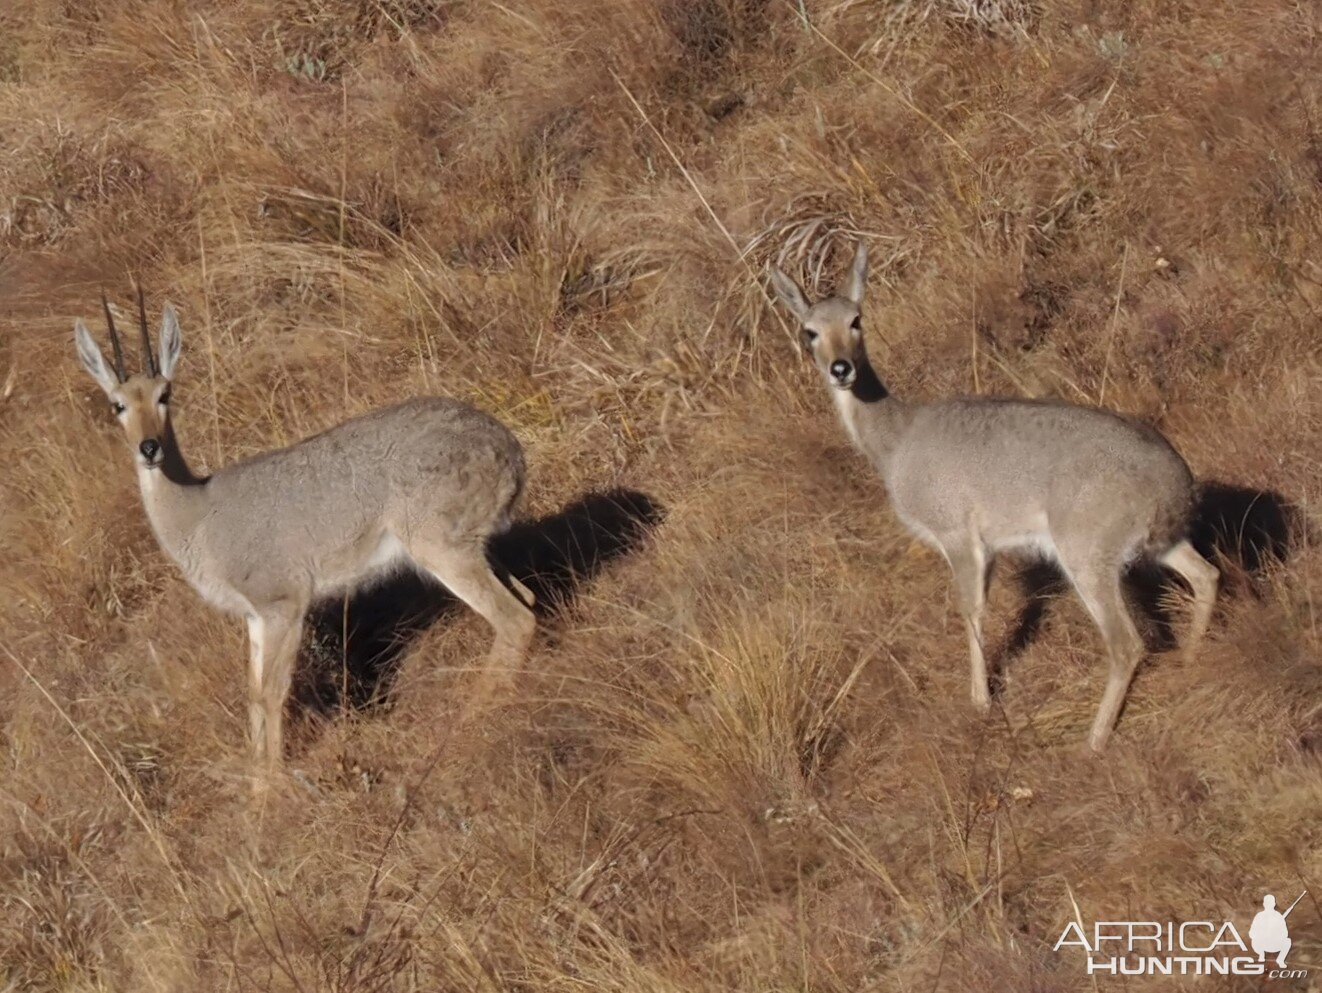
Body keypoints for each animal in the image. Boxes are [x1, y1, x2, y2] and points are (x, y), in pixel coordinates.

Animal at [72, 290, 534, 782]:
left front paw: (273, 787)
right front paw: (257, 787)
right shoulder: (254, 617)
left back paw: (476, 719)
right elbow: (252, 695)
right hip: (473, 547)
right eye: (117, 404)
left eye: (166, 394)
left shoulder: (283, 603)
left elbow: (272, 693)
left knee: (514, 619)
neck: (198, 513)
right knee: (527, 600)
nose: (150, 448)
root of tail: (510, 451)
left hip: (442, 549)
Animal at [772, 243, 1216, 751]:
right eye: (809, 331)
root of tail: (1176, 485)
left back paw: (1094, 738)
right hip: (1160, 543)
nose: (840, 368)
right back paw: (1190, 660)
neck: (897, 442)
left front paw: (980, 703)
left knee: (1128, 644)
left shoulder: (956, 533)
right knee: (1207, 575)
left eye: (856, 320)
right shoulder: (990, 547)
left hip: (1087, 551)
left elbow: (971, 609)